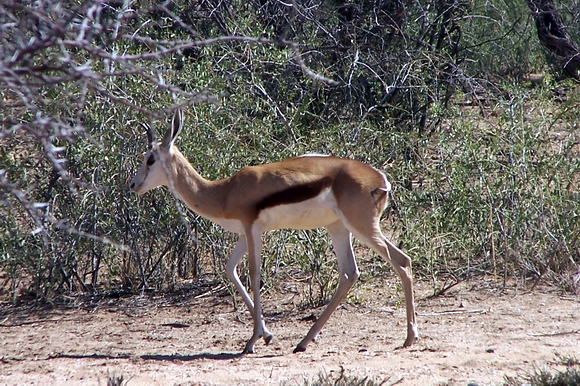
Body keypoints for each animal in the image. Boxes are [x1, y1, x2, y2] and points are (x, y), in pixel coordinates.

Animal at [131, 110, 416, 354]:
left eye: (150, 159)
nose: (133, 184)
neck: (224, 192)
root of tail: (381, 179)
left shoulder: (252, 229)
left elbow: (254, 274)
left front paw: (252, 340)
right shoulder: (243, 234)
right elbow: (230, 269)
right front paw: (267, 335)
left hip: (363, 226)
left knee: (401, 261)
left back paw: (409, 338)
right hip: (338, 227)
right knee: (350, 273)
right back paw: (304, 341)